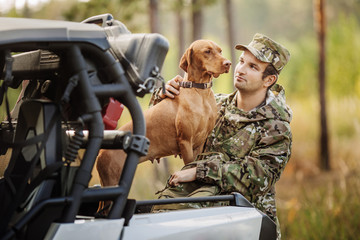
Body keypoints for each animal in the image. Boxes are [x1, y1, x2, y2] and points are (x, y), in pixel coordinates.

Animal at [95, 39, 231, 191]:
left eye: (220, 51)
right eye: (207, 51)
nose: (228, 63)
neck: (200, 93)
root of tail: (100, 153)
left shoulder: (200, 143)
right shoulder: (185, 141)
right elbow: (187, 165)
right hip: (112, 180)